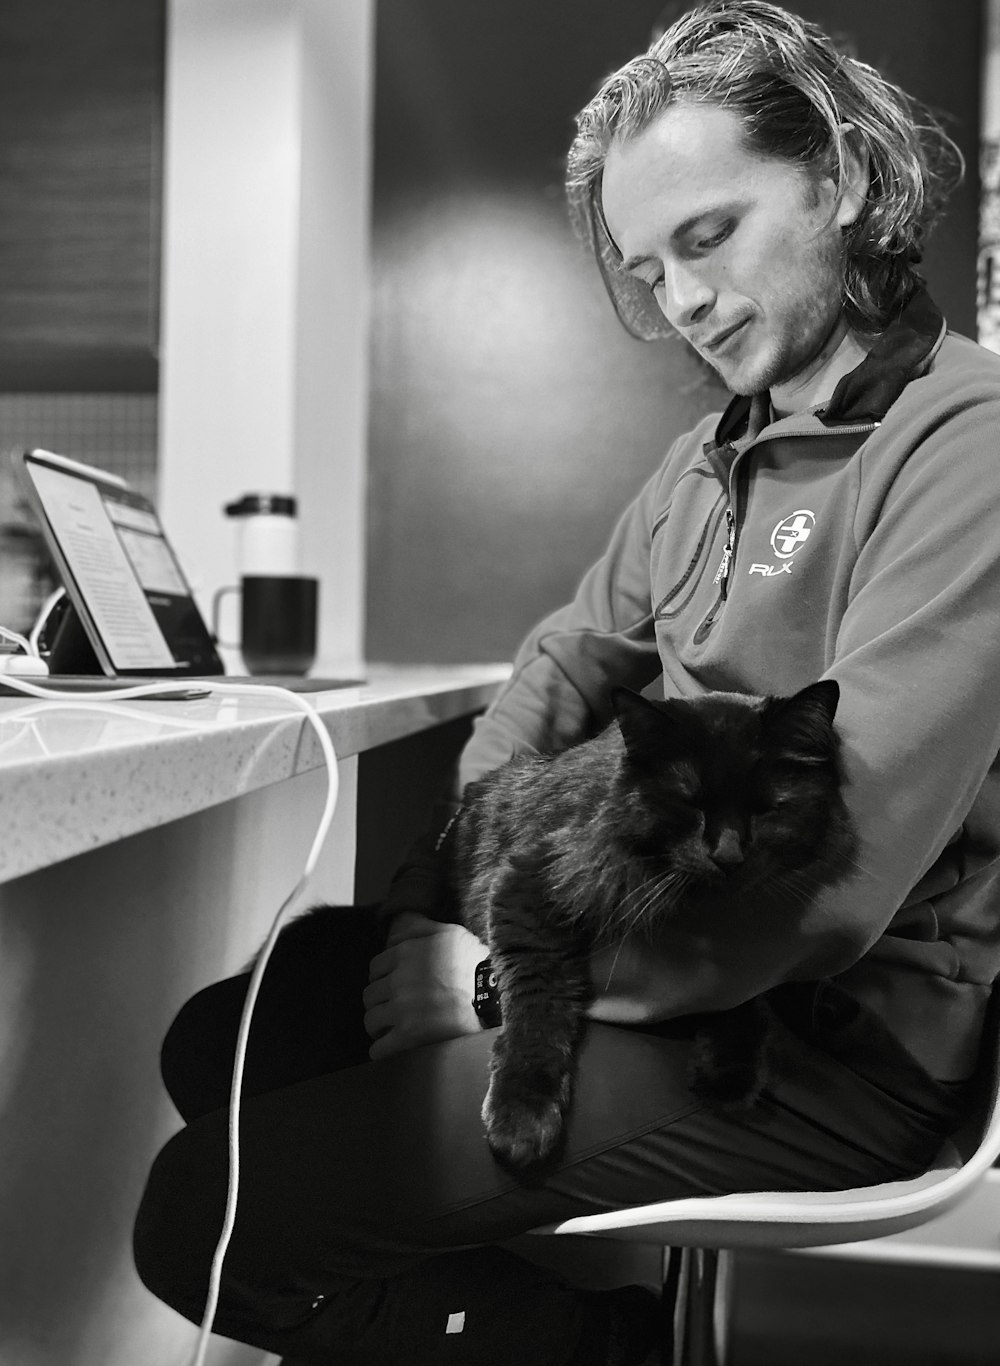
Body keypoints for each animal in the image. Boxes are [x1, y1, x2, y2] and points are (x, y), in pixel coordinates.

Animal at [448, 683, 857, 1174]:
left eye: (766, 809)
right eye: (690, 803)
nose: (728, 855)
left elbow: (743, 991)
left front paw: (730, 1068)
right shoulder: (525, 885)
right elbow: (537, 1009)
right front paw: (523, 1118)